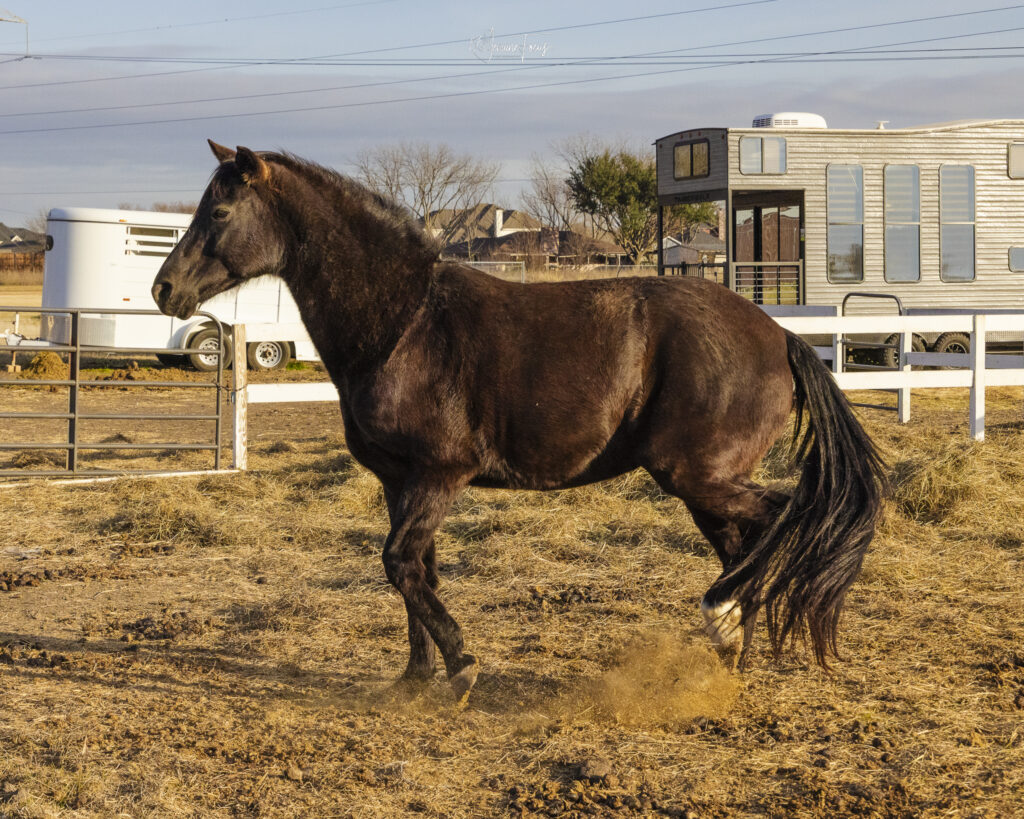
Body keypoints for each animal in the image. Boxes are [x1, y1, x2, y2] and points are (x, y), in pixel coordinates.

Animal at [153, 141, 886, 701]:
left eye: (220, 209)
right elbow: (416, 573)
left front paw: (462, 667)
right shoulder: (400, 482)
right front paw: (415, 679)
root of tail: (779, 335)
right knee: (745, 543)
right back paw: (728, 650)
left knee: (783, 519)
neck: (403, 324)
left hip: (697, 476)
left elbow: (400, 564)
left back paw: (721, 622)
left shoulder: (440, 475)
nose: (164, 289)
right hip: (704, 485)